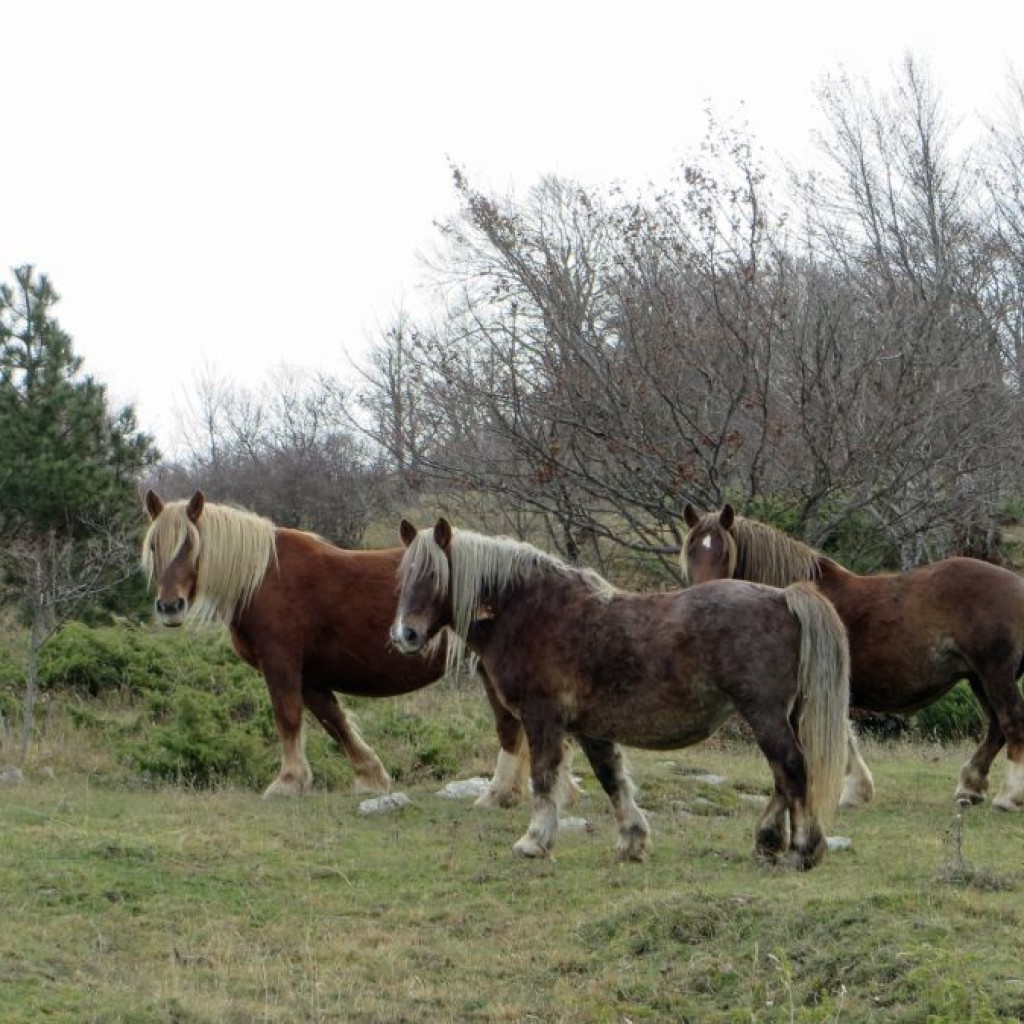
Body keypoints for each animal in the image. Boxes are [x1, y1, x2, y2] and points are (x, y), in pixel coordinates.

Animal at [143, 491, 536, 802]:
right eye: (152, 546)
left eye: (189, 544)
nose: (169, 607)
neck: (262, 578)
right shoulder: (310, 676)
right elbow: (334, 720)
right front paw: (370, 776)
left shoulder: (281, 663)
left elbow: (288, 716)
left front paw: (288, 782)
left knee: (510, 726)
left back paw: (500, 792)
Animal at [387, 520, 851, 872]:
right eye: (403, 577)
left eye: (433, 576)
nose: (404, 635)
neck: (532, 612)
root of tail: (783, 597)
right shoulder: (590, 728)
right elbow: (612, 778)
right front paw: (633, 841)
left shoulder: (542, 718)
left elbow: (544, 778)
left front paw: (534, 841)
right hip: (782, 716)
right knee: (783, 778)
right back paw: (768, 842)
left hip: (764, 714)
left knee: (792, 769)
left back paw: (804, 851)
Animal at [684, 499, 1024, 811]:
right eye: (691, 551)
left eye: (724, 552)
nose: (702, 602)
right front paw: (858, 790)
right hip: (979, 678)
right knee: (996, 728)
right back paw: (970, 787)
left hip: (996, 675)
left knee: (1011, 721)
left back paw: (1008, 797)